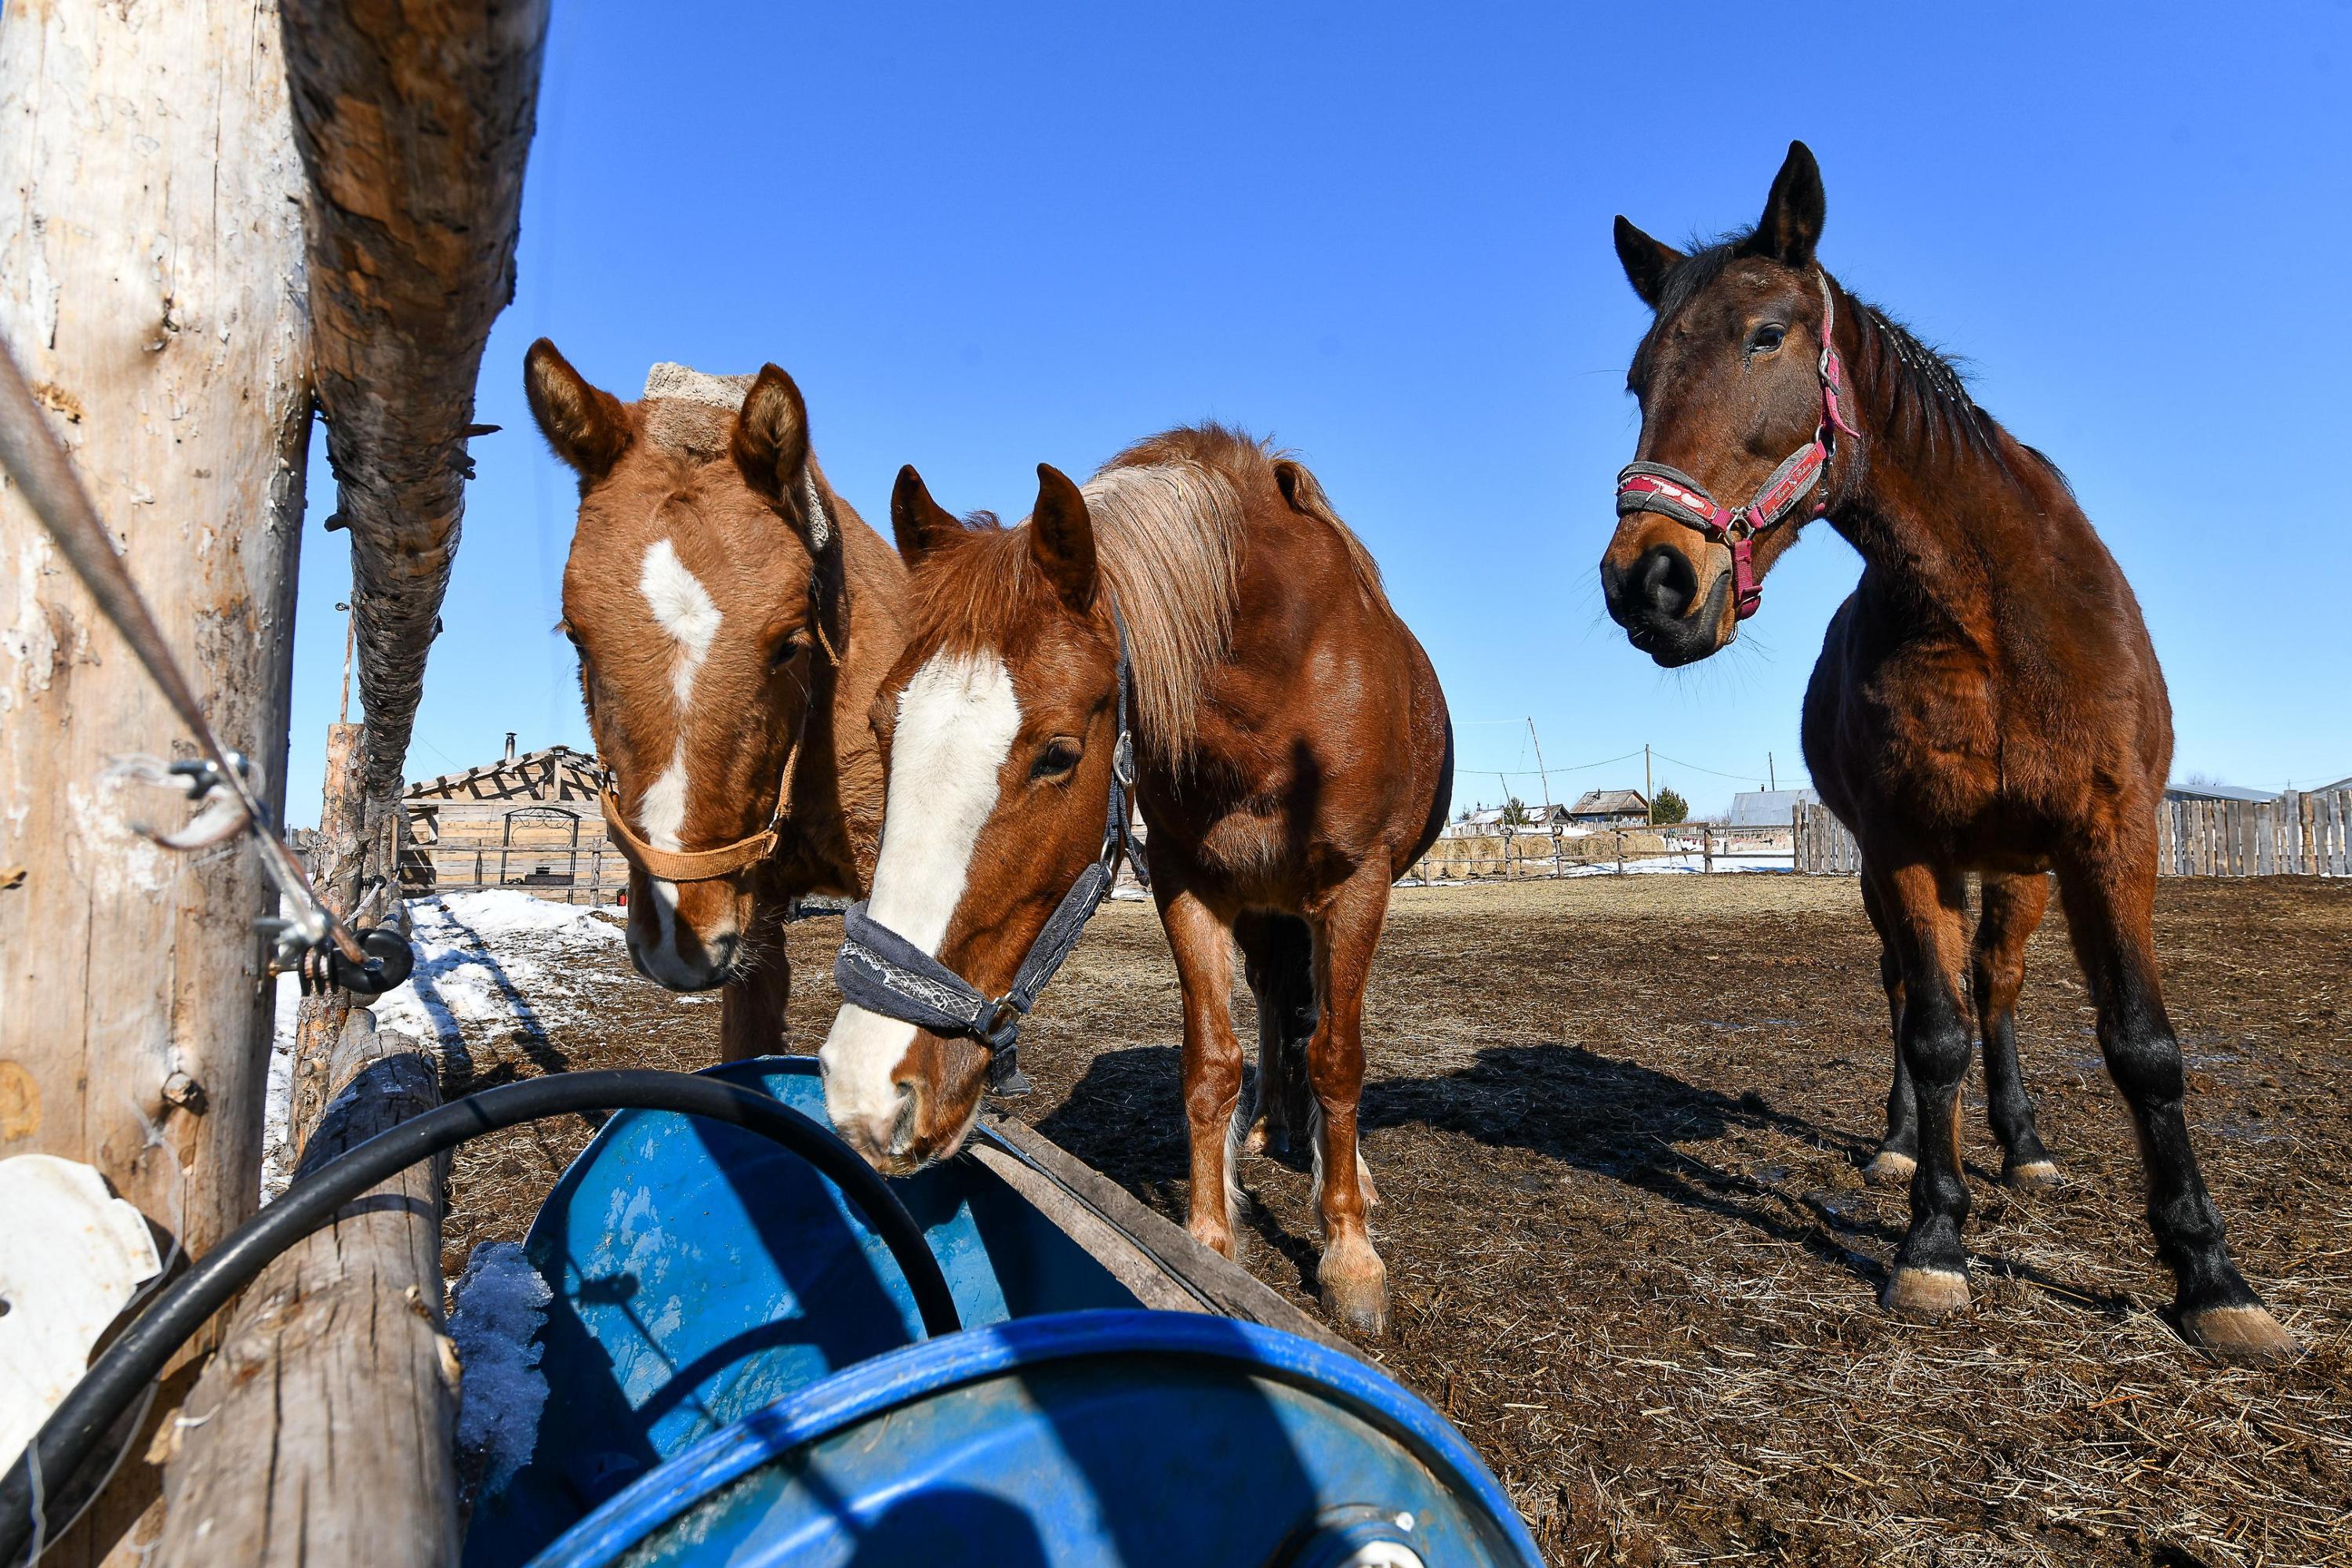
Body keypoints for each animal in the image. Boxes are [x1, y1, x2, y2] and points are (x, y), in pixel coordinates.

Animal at [823, 430, 1449, 1335]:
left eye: (1058, 754)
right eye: (881, 725)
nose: (863, 1089)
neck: (1289, 680)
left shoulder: (1356, 886)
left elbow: (1339, 1058)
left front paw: (1350, 1256)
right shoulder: (1192, 887)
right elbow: (1211, 1065)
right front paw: (1209, 1246)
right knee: (1278, 1003)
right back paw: (1271, 1126)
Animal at [1590, 150, 2286, 1373]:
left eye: (1766, 335)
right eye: (1639, 379)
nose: (1650, 581)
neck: (1991, 612)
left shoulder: (2109, 837)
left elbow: (2142, 1046)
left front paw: (2210, 1274)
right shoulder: (1907, 847)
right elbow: (1932, 1031)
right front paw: (1933, 1241)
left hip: (2017, 871)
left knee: (1997, 985)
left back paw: (2025, 1144)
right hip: (1903, 871)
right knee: (1922, 995)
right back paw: (1906, 1142)